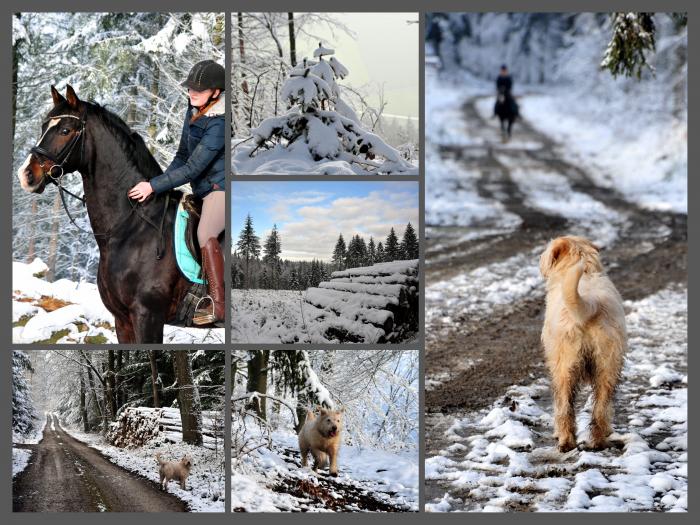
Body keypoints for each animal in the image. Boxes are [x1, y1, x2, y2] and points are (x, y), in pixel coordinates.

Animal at [17, 84, 202, 342]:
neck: (134, 227)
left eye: (65, 130)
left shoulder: (148, 316)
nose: (26, 175)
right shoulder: (122, 320)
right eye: (44, 128)